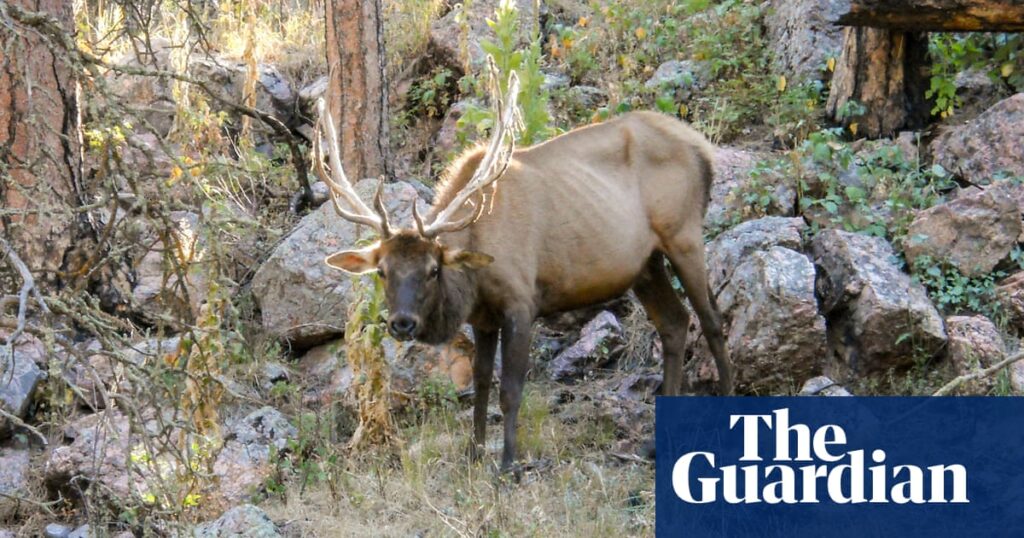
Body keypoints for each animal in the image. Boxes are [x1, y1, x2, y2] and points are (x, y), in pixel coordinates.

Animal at [315, 60, 733, 474]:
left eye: (433, 269)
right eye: (382, 271)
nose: (402, 323)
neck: (475, 275)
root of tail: (704, 150)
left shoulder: (521, 302)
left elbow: (511, 389)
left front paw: (507, 463)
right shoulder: (483, 318)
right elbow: (481, 382)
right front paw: (473, 453)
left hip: (684, 234)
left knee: (712, 321)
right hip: (646, 264)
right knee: (675, 322)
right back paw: (653, 444)